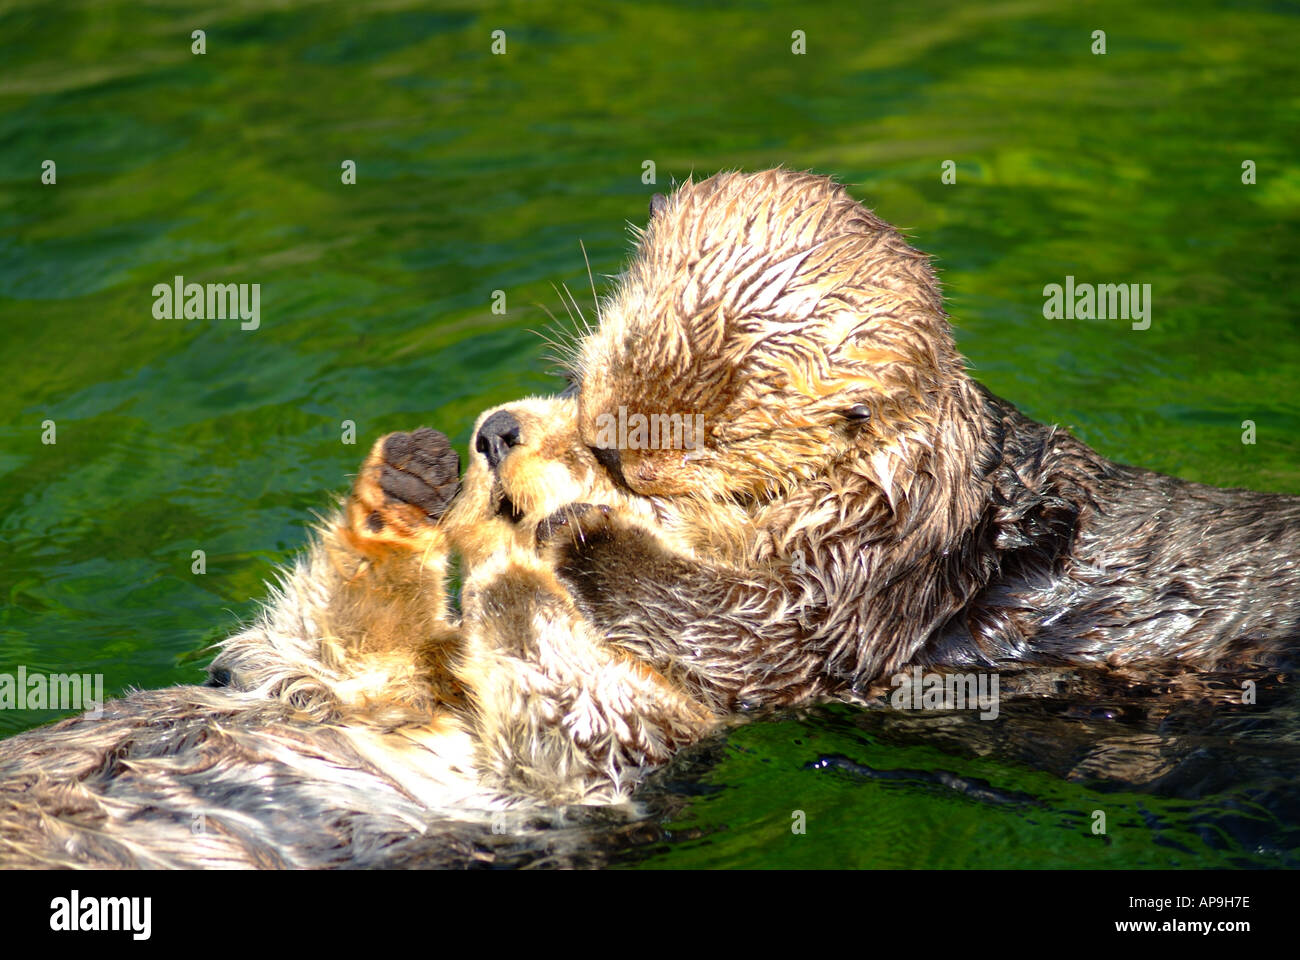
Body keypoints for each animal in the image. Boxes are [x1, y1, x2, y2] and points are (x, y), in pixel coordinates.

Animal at [526, 168, 1300, 712]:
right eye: (626, 333)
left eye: (723, 434)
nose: (612, 448)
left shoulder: (866, 573)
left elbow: (759, 642)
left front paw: (584, 534)